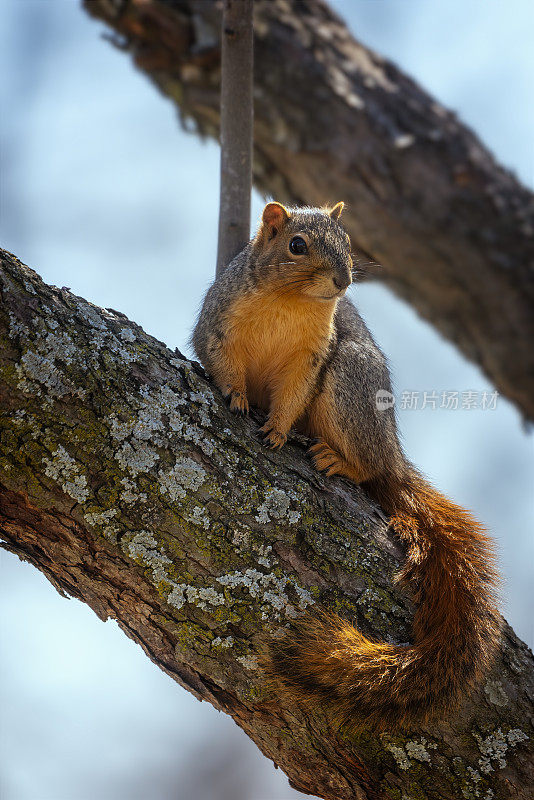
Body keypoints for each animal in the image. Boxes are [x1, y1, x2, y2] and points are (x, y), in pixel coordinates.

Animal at [193, 203, 502, 728]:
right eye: (296, 245)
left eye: (348, 242)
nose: (342, 280)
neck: (290, 302)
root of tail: (393, 454)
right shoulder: (219, 327)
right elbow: (224, 365)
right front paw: (235, 396)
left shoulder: (312, 357)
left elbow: (293, 395)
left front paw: (277, 430)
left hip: (349, 380)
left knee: (370, 468)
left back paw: (337, 460)